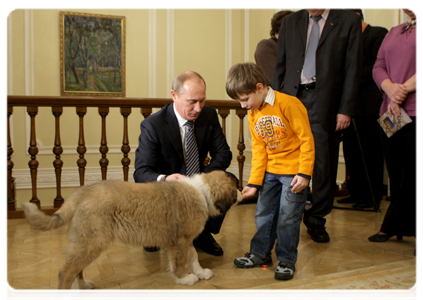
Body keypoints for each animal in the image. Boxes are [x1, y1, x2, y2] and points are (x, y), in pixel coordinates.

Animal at [22, 170, 242, 298]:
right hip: (92, 241)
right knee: (66, 271)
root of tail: (81, 193)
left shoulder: (183, 240)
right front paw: (184, 279)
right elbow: (181, 261)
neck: (202, 191)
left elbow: (193, 257)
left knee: (76, 268)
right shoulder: (181, 240)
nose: (242, 192)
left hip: (86, 241)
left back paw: (82, 286)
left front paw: (200, 272)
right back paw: (66, 295)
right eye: (236, 187)